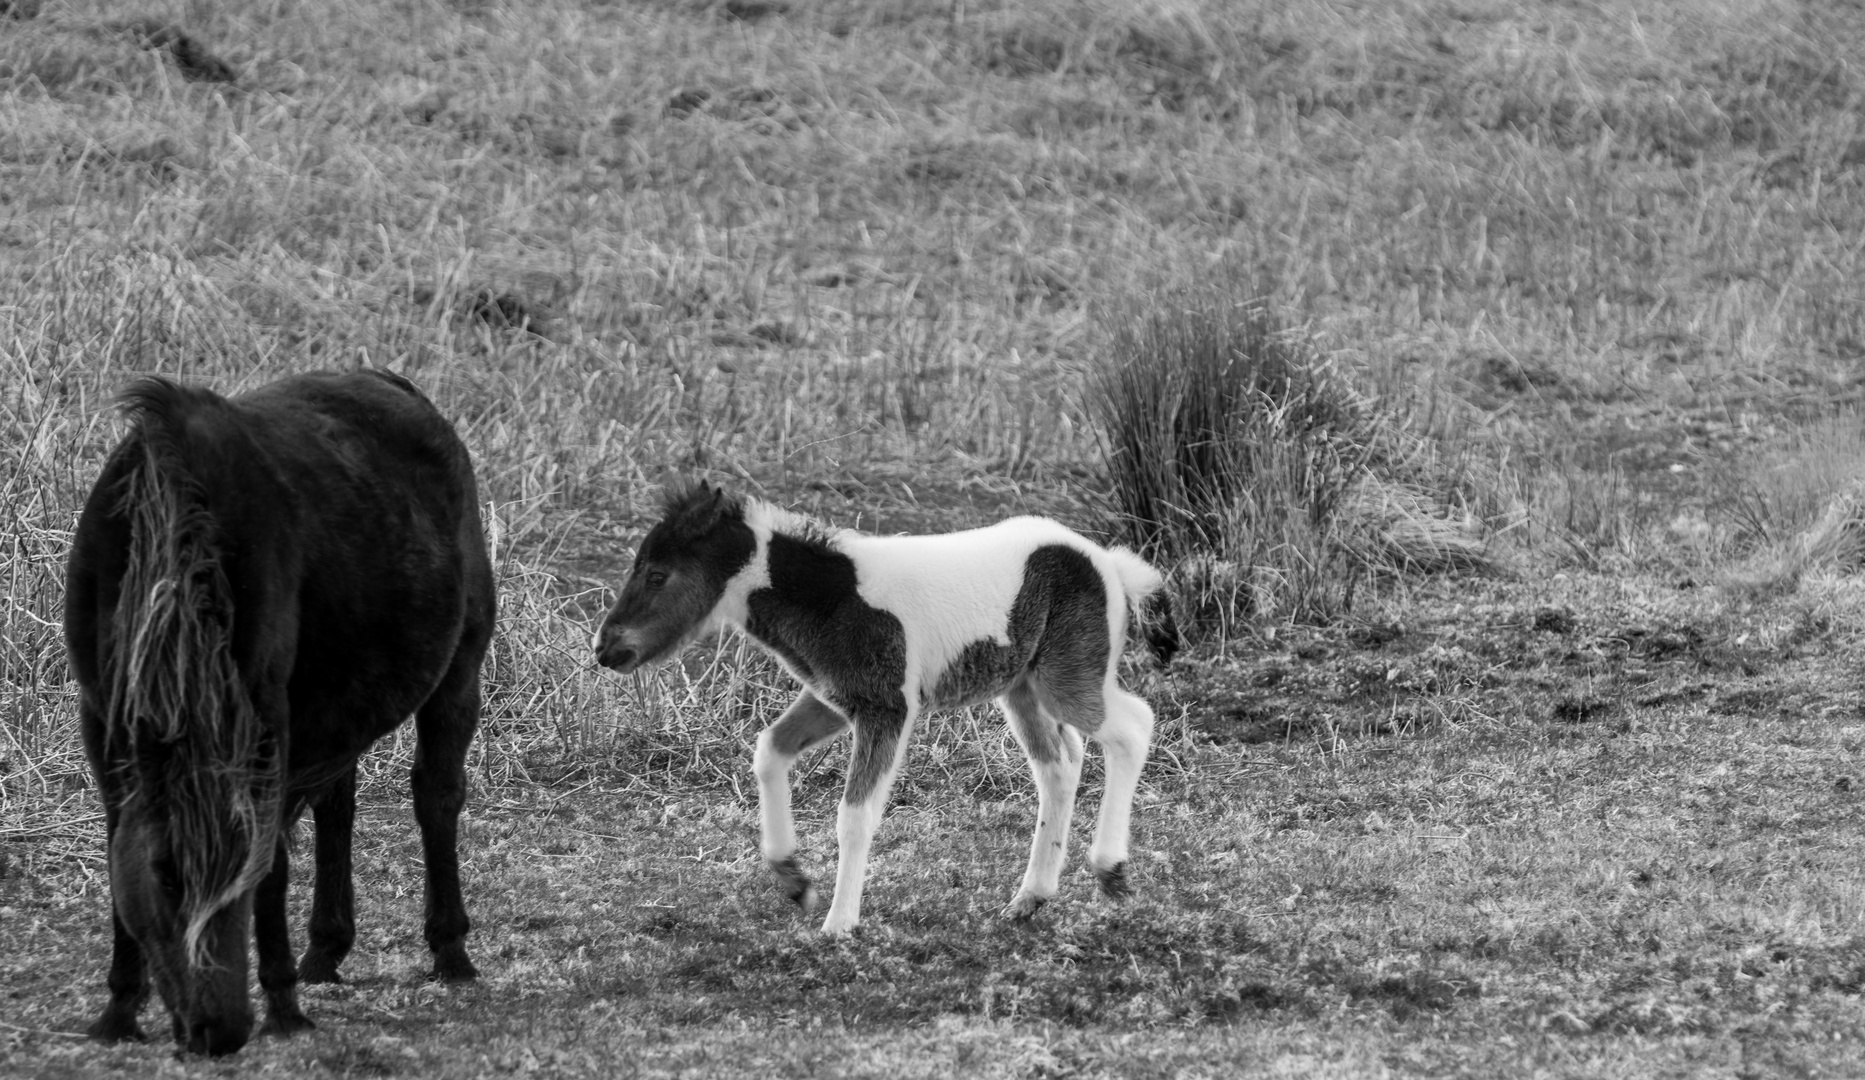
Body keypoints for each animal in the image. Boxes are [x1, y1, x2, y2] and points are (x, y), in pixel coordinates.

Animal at [66, 371, 496, 1059]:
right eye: (164, 879)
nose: (218, 1031)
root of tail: (397, 385)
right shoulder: (102, 717)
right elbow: (118, 847)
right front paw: (118, 1011)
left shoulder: (266, 719)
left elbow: (275, 865)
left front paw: (283, 1007)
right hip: (341, 699)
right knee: (337, 805)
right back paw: (325, 952)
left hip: (459, 665)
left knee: (436, 794)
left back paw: (449, 950)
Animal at [596, 481, 1156, 936]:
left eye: (657, 575)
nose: (606, 649)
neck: (835, 596)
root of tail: (1107, 561)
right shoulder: (835, 699)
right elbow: (769, 750)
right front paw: (794, 880)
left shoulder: (886, 709)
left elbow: (855, 814)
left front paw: (839, 924)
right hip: (1022, 688)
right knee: (1060, 764)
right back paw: (1031, 897)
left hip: (1065, 679)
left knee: (1134, 727)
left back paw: (1110, 871)